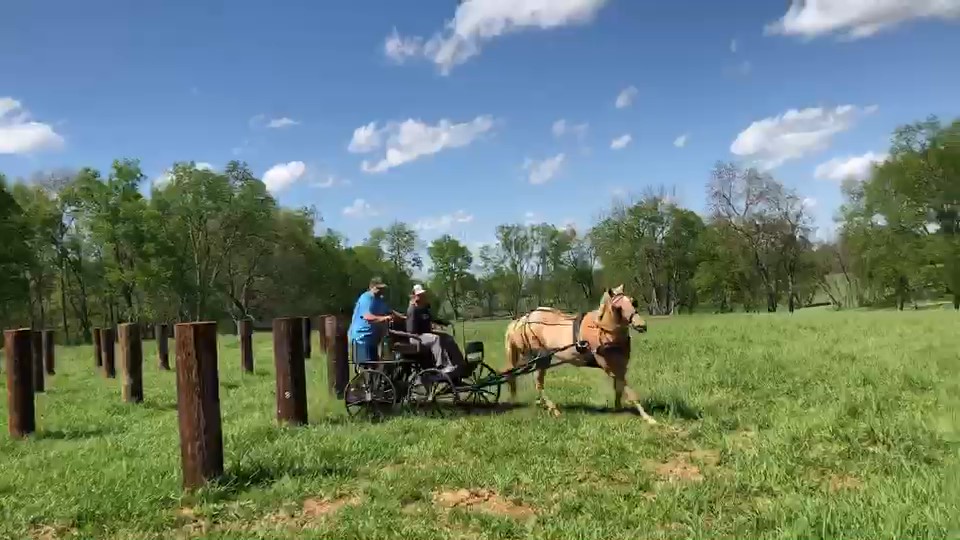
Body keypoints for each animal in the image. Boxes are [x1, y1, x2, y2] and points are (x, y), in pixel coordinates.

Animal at [502, 284, 652, 424]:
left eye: (633, 302)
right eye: (618, 307)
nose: (641, 325)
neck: (602, 330)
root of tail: (522, 320)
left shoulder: (621, 365)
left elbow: (619, 388)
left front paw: (619, 409)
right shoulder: (609, 367)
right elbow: (628, 391)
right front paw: (648, 418)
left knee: (530, 381)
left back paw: (544, 404)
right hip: (538, 358)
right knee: (536, 384)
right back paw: (552, 408)